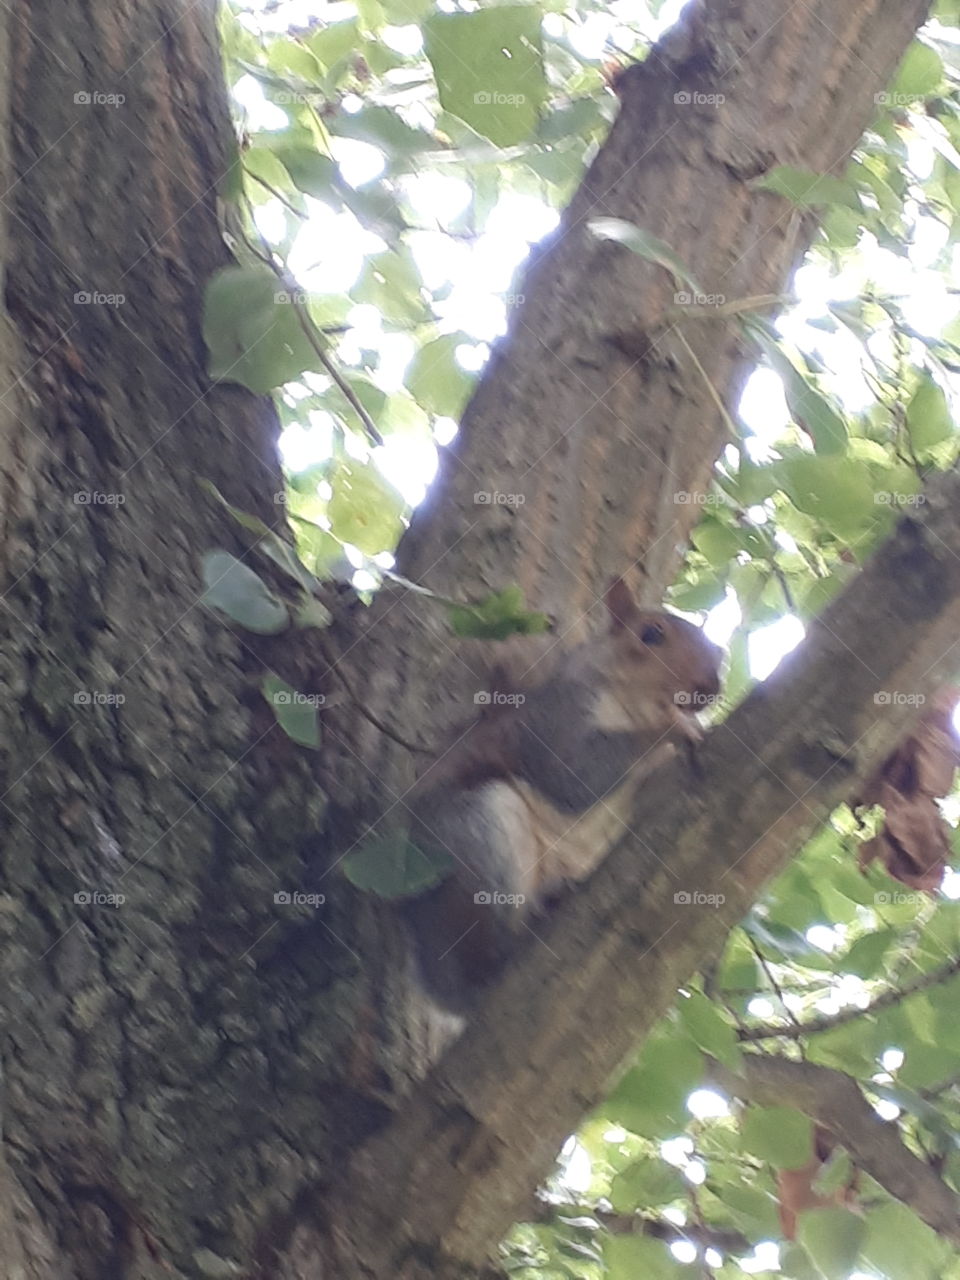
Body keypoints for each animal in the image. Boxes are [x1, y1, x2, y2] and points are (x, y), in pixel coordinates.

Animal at [401, 578, 727, 1008]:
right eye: (651, 634)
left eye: (717, 656)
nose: (709, 688)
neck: (632, 706)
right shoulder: (555, 720)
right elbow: (572, 775)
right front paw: (670, 729)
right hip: (474, 835)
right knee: (485, 949)